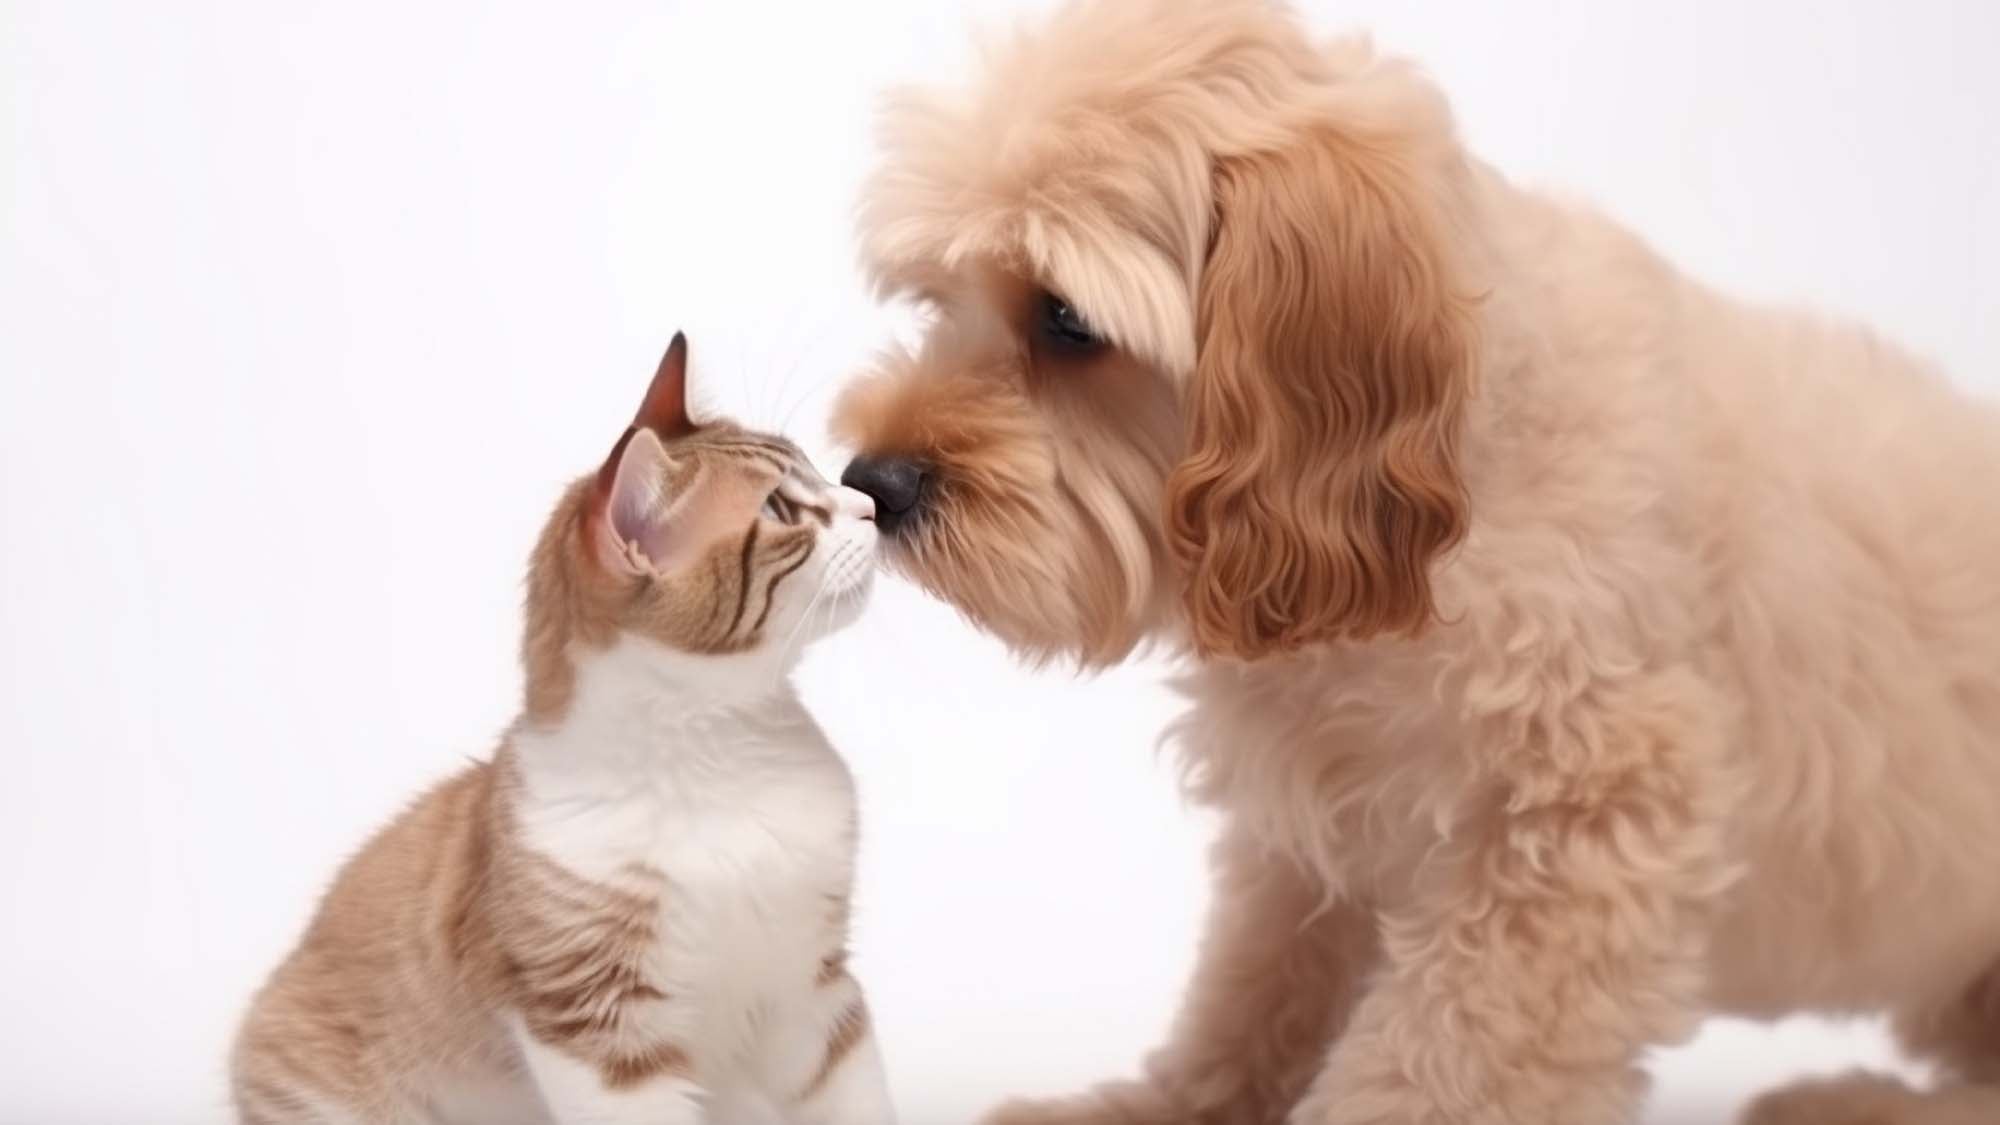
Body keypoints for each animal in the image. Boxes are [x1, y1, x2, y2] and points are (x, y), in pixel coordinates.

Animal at [230, 332, 896, 1120]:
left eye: (815, 471)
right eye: (782, 507)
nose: (870, 504)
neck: (713, 749)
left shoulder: (812, 995)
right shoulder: (599, 1029)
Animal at [824, 2, 2000, 1120]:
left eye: (1065, 321)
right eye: (937, 300)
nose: (874, 483)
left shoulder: (1586, 819)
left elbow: (1445, 1062)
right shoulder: (1316, 833)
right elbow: (1253, 991)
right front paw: (1162, 1105)